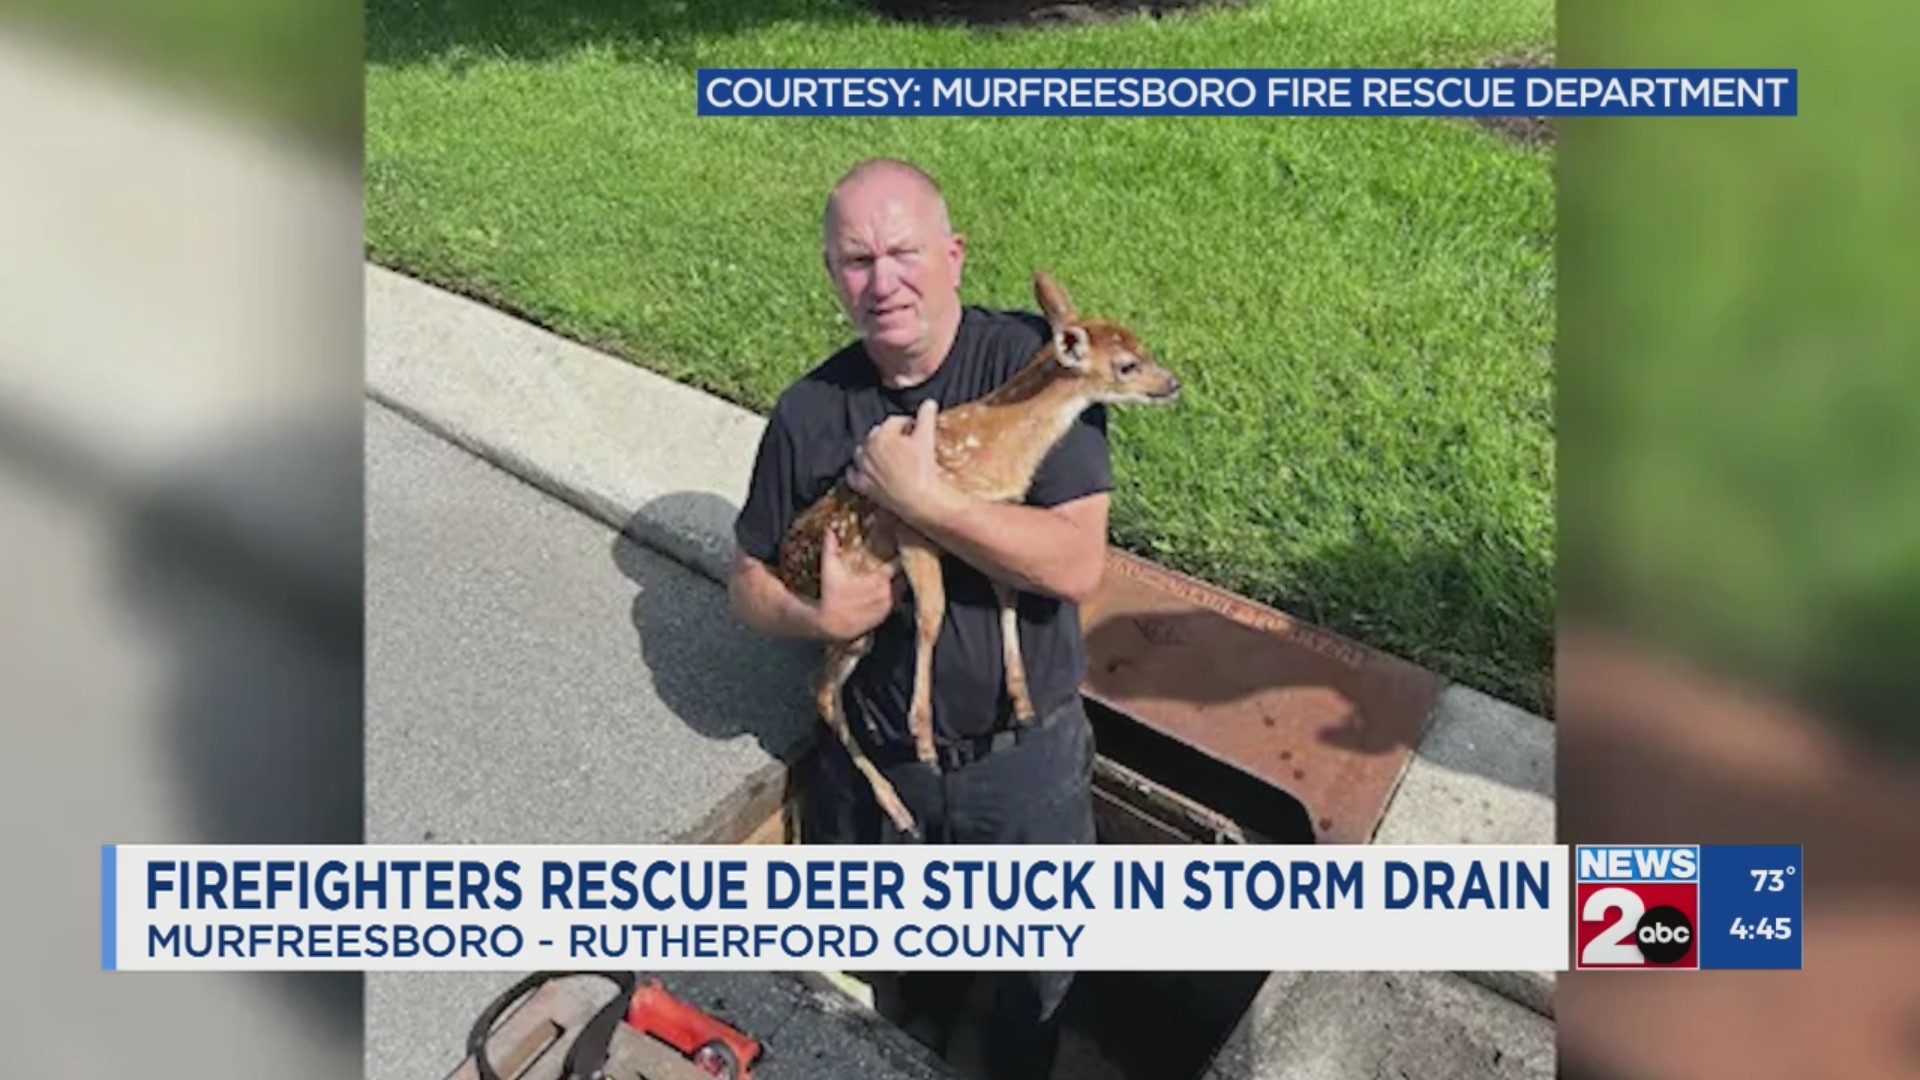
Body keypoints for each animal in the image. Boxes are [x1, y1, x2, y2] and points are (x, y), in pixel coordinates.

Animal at [773, 271, 1183, 839]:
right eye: (1127, 364)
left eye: (1145, 348)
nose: (1173, 384)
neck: (996, 445)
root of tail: (785, 568)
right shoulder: (911, 526)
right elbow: (932, 615)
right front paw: (923, 738)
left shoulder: (984, 531)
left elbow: (1007, 598)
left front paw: (1023, 702)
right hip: (849, 611)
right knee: (823, 692)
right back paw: (899, 806)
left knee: (824, 688)